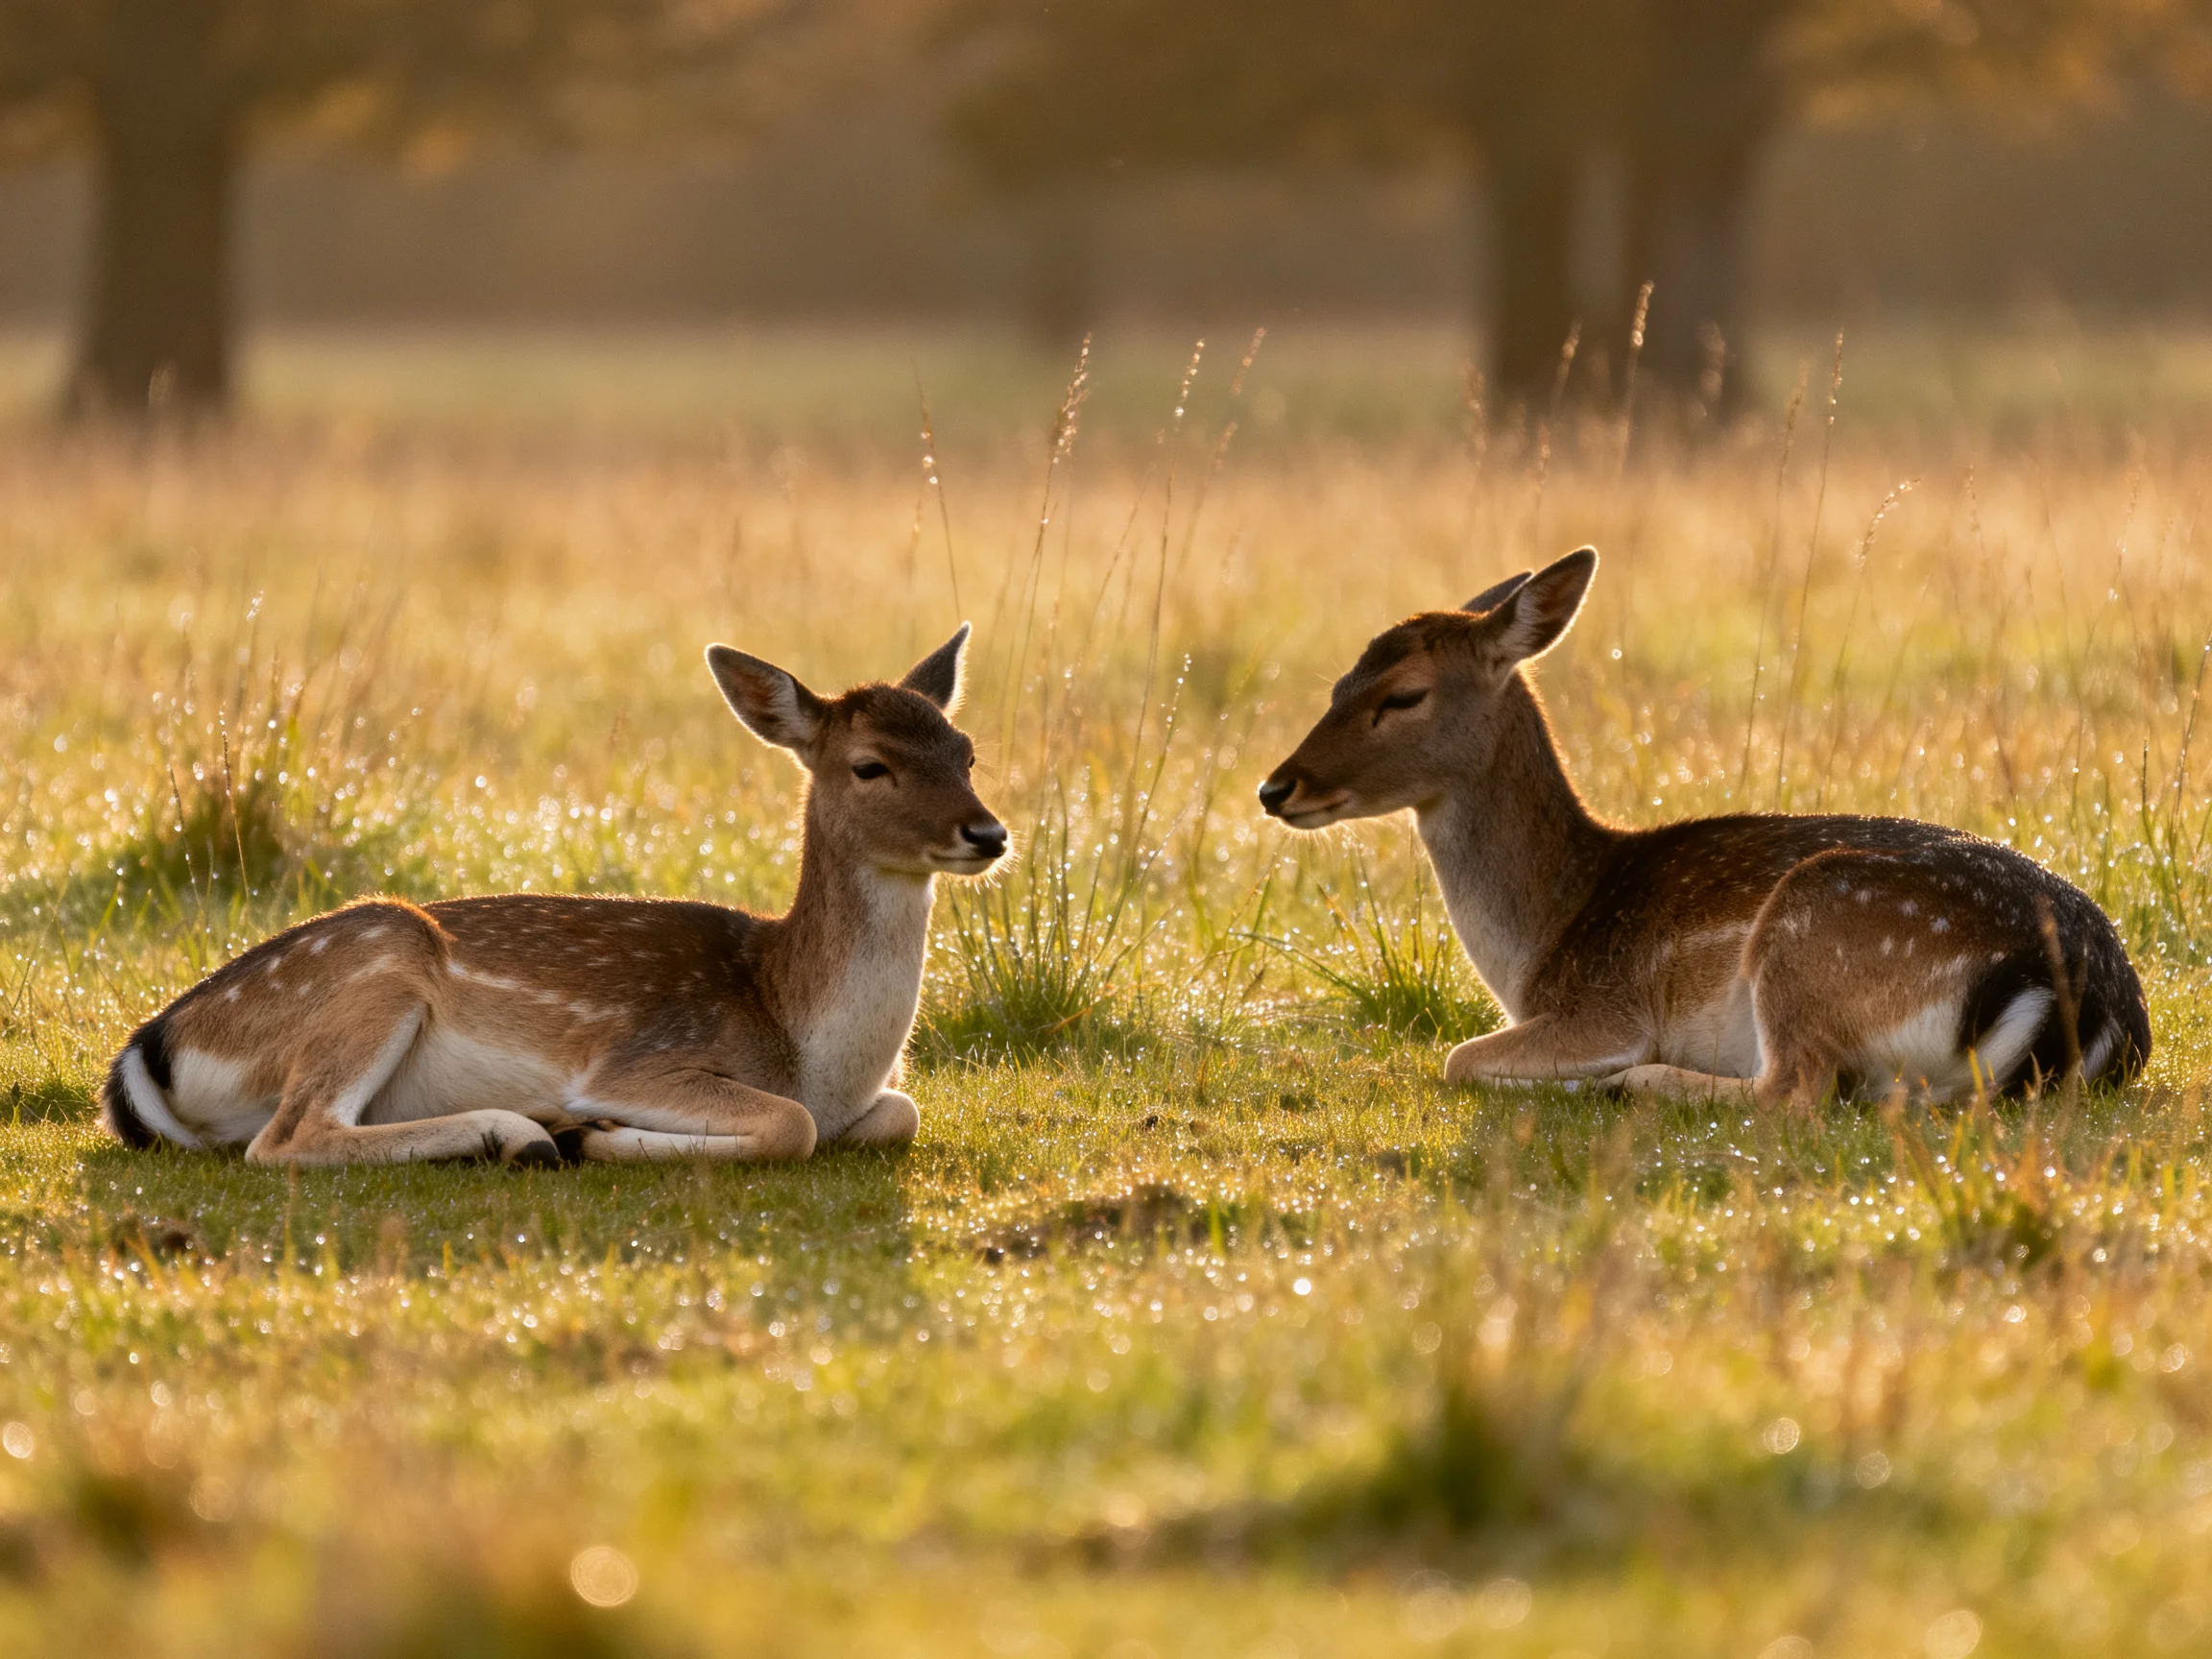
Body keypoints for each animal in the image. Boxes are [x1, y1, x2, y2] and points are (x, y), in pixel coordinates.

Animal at [100, 626, 1007, 1166]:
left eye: (966, 752)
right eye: (870, 766)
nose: (989, 833)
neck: (812, 1048)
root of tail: (146, 1053)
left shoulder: (874, 1103)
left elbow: (902, 1112)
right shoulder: (640, 1061)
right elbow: (793, 1124)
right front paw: (597, 1133)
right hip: (377, 966)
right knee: (288, 1138)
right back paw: (525, 1132)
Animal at [1258, 548, 2151, 1107]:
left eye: (1404, 694)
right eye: (1337, 683)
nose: (1276, 786)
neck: (1539, 946)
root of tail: (2081, 1002)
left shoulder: (1607, 1008)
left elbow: (1456, 1057)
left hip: (1811, 932)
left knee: (1795, 1091)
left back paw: (1632, 1087)